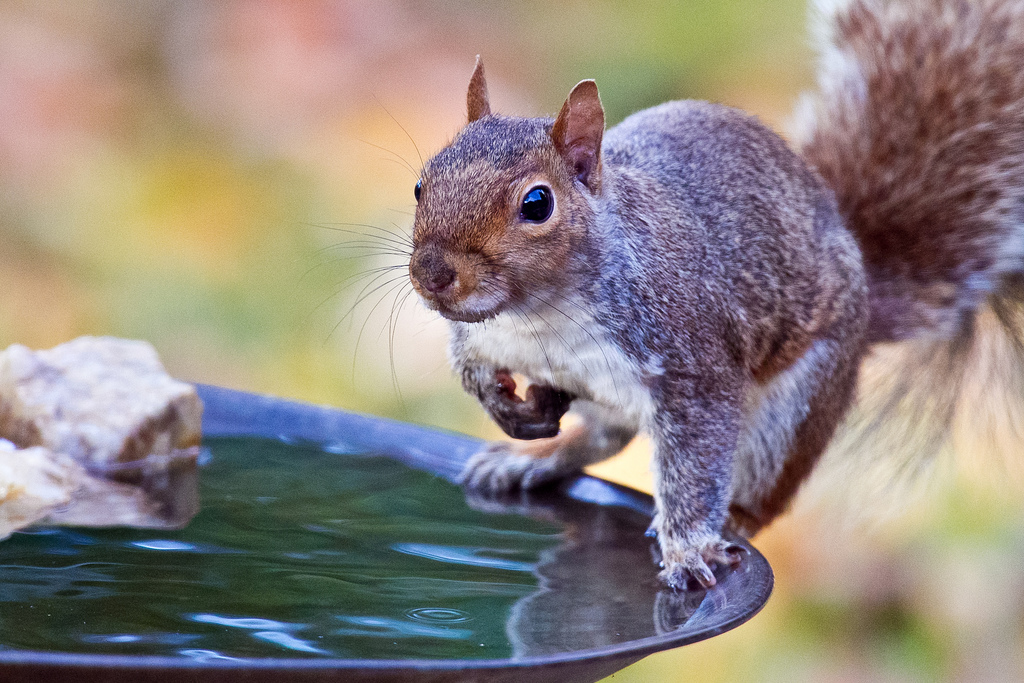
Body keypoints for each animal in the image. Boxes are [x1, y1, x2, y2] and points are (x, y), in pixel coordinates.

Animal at [403, 0, 1024, 589]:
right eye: (420, 184)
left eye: (537, 204)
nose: (433, 275)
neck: (539, 316)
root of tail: (866, 288)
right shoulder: (484, 338)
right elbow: (471, 368)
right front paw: (505, 406)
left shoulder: (694, 363)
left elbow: (695, 466)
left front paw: (687, 548)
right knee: (607, 436)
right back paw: (534, 456)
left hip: (792, 409)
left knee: (757, 491)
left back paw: (734, 519)